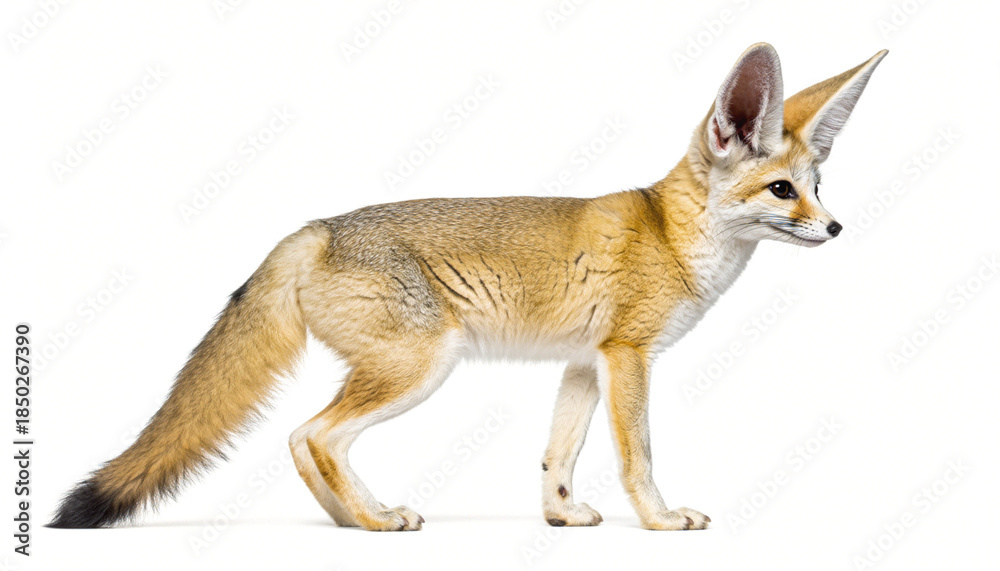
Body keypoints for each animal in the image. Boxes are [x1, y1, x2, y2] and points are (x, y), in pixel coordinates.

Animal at [50, 43, 886, 531]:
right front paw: (658, 520)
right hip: (421, 368)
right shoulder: (629, 355)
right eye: (783, 191)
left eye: (818, 186)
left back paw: (351, 518)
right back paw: (376, 520)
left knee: (296, 438)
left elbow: (558, 454)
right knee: (316, 433)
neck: (671, 232)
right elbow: (638, 454)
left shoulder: (583, 362)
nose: (838, 228)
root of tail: (317, 227)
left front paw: (560, 517)